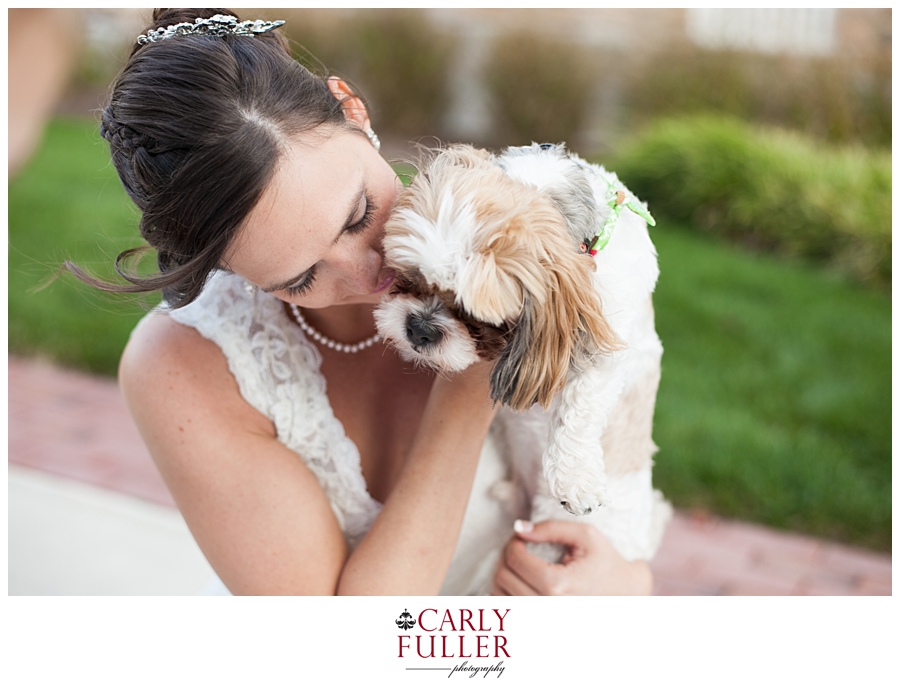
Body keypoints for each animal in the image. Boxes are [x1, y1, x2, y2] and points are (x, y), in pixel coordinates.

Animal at [372, 143, 668, 556]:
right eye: (410, 277)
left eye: (473, 314)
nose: (419, 328)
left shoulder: (608, 338)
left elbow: (581, 404)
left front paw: (574, 477)